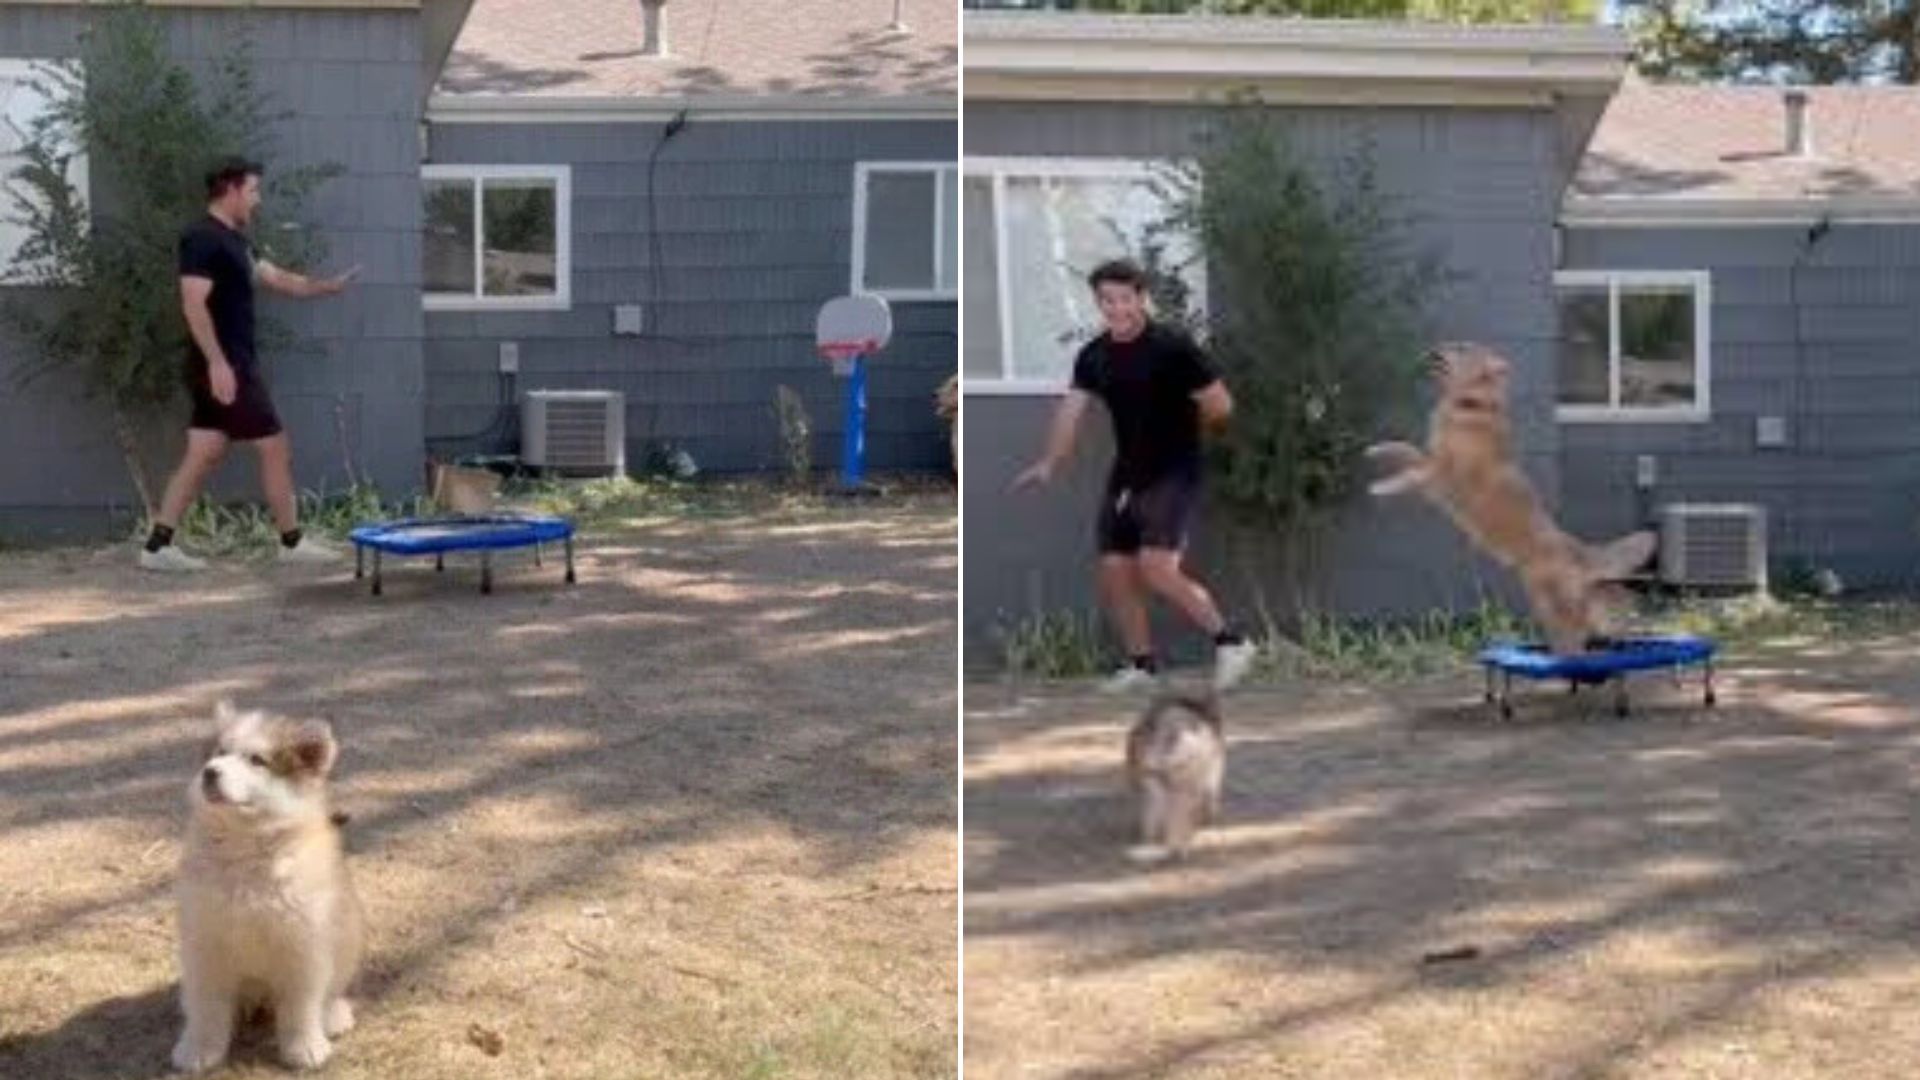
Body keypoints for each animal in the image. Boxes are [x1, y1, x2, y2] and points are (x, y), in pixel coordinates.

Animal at [174, 699, 368, 1068]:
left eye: (256, 760)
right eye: (220, 752)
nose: (210, 771)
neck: (246, 850)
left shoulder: (303, 945)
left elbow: (299, 1005)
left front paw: (304, 1047)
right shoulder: (204, 941)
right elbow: (206, 1004)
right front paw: (199, 1048)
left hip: (347, 944)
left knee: (332, 992)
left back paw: (334, 1015)